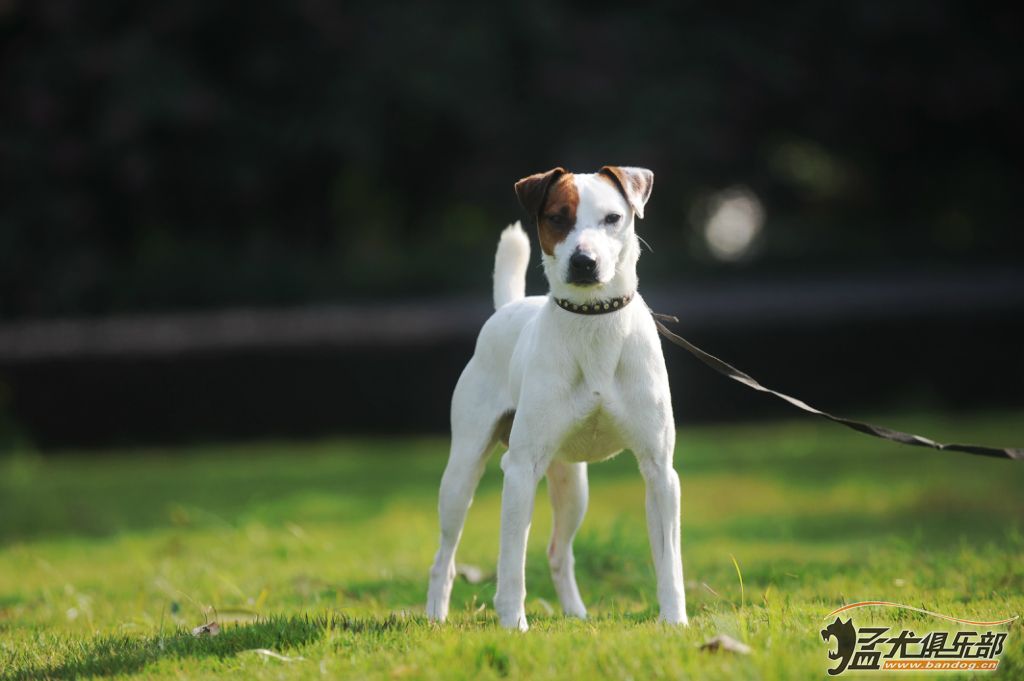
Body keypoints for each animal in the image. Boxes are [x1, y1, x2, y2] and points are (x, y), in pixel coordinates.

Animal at [423, 165, 688, 630]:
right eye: (557, 218)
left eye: (613, 218)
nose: (584, 262)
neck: (594, 320)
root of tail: (506, 309)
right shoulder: (520, 470)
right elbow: (511, 562)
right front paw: (513, 624)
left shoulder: (659, 471)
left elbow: (668, 560)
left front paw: (674, 621)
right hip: (462, 472)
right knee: (446, 554)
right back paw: (435, 613)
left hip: (572, 485)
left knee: (558, 552)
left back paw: (576, 614)